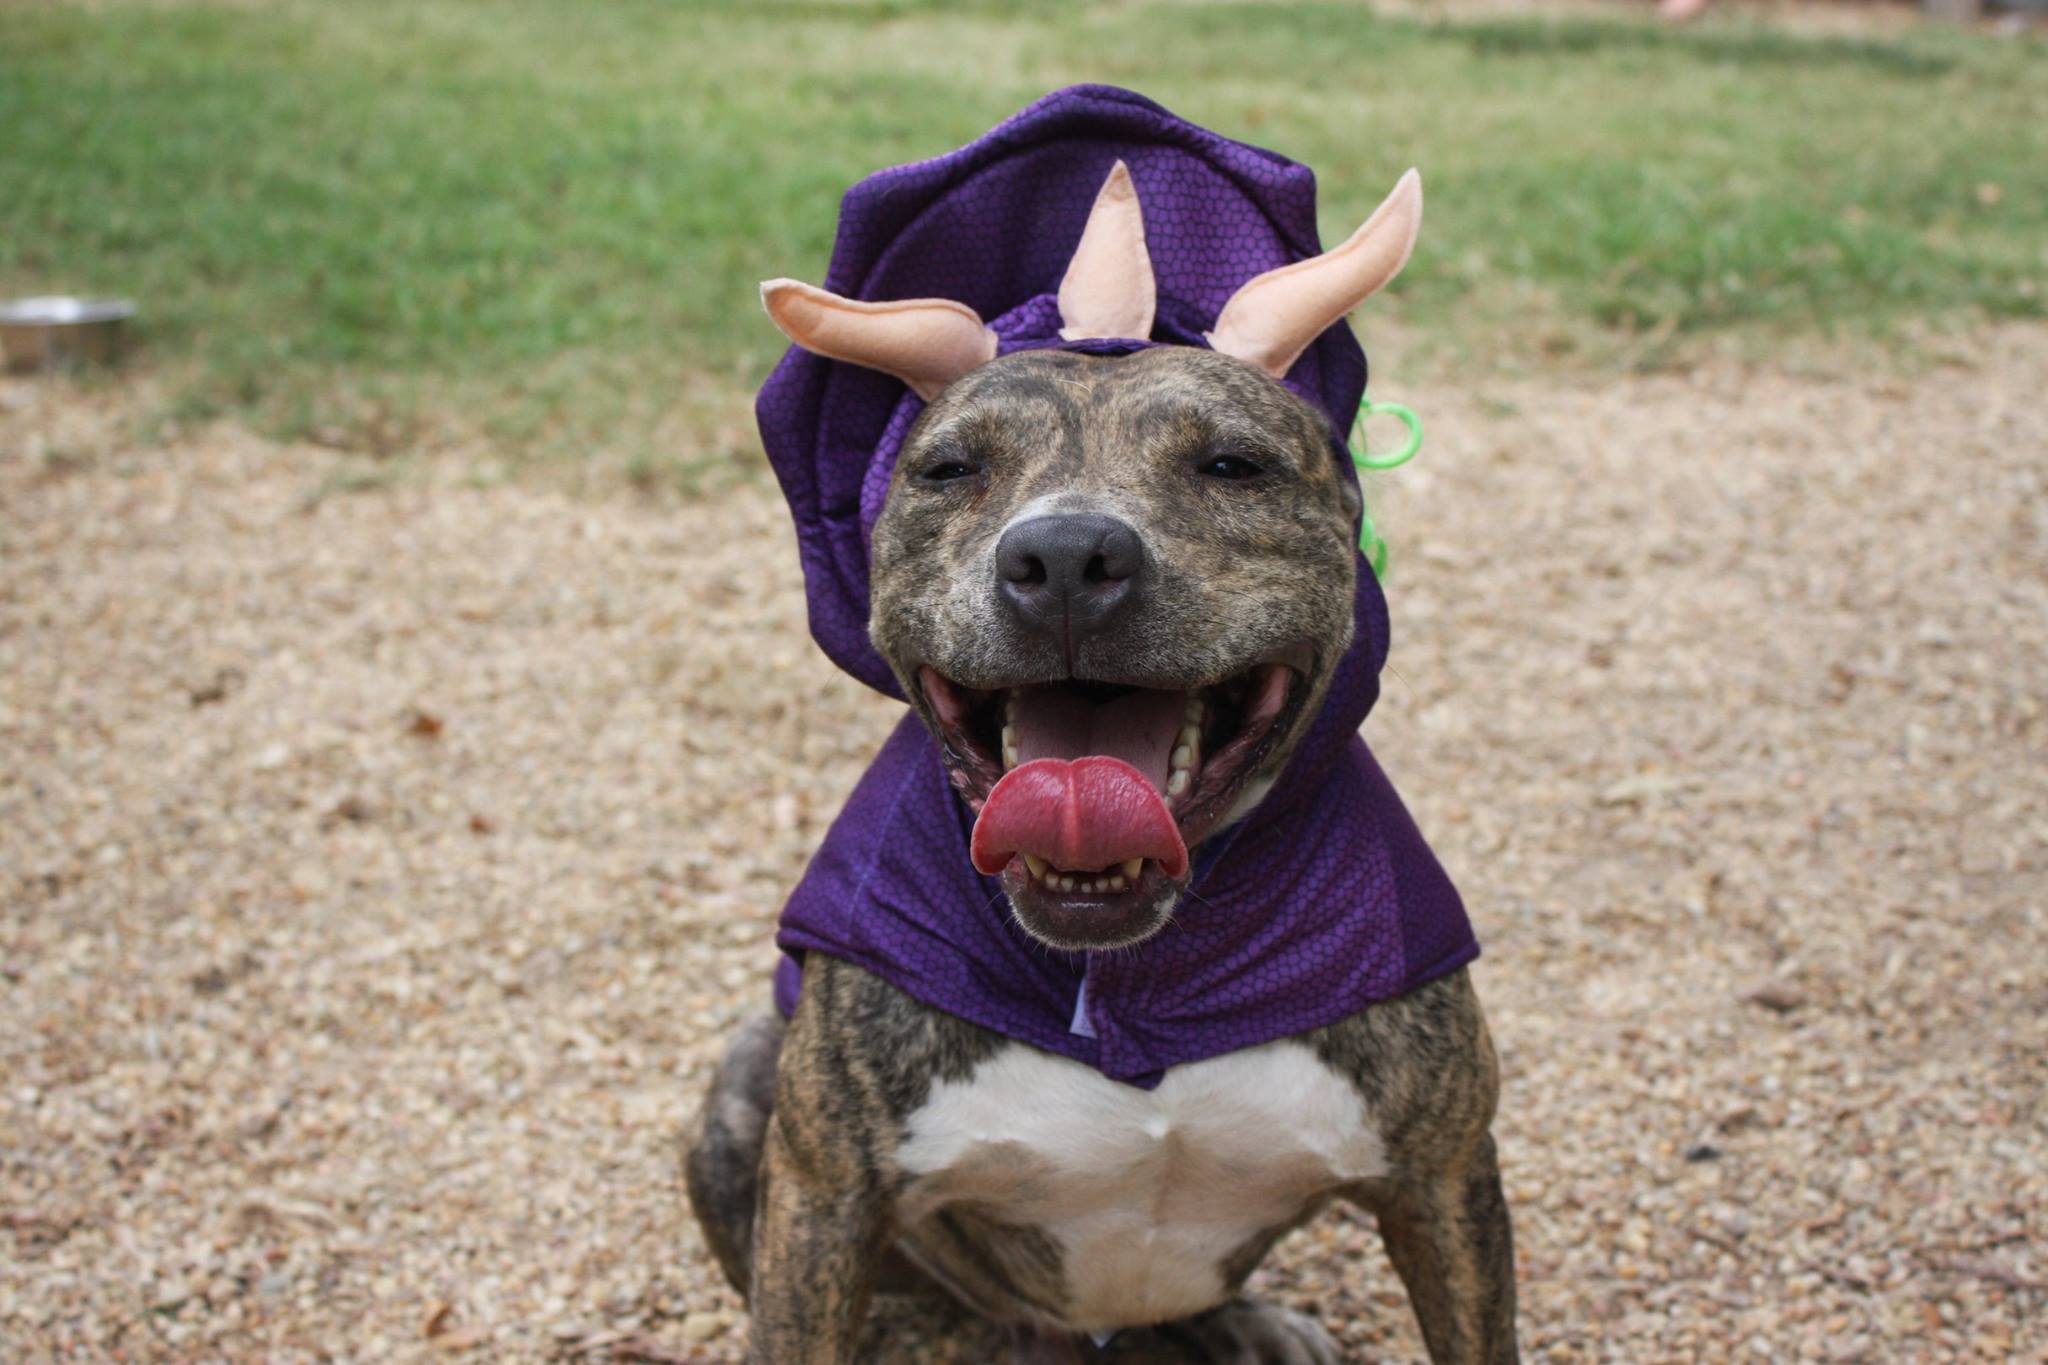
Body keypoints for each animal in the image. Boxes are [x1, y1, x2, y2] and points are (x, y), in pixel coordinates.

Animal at [679, 90, 1515, 1358]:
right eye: (949, 470)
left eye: (1231, 464)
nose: (1066, 554)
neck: (1123, 983)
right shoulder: (822, 1195)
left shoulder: (1446, 1182)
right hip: (738, 1091)